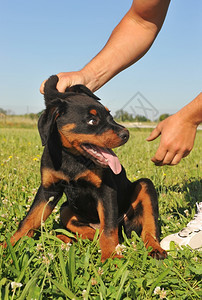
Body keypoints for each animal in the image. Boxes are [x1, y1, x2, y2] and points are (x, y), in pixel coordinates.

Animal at [8, 76, 166, 262]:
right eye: (92, 120)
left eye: (110, 115)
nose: (126, 134)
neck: (72, 157)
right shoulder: (48, 190)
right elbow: (30, 219)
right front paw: (9, 246)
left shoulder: (106, 190)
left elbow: (108, 228)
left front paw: (111, 256)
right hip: (66, 209)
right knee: (88, 231)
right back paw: (68, 238)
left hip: (144, 186)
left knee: (147, 227)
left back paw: (155, 249)